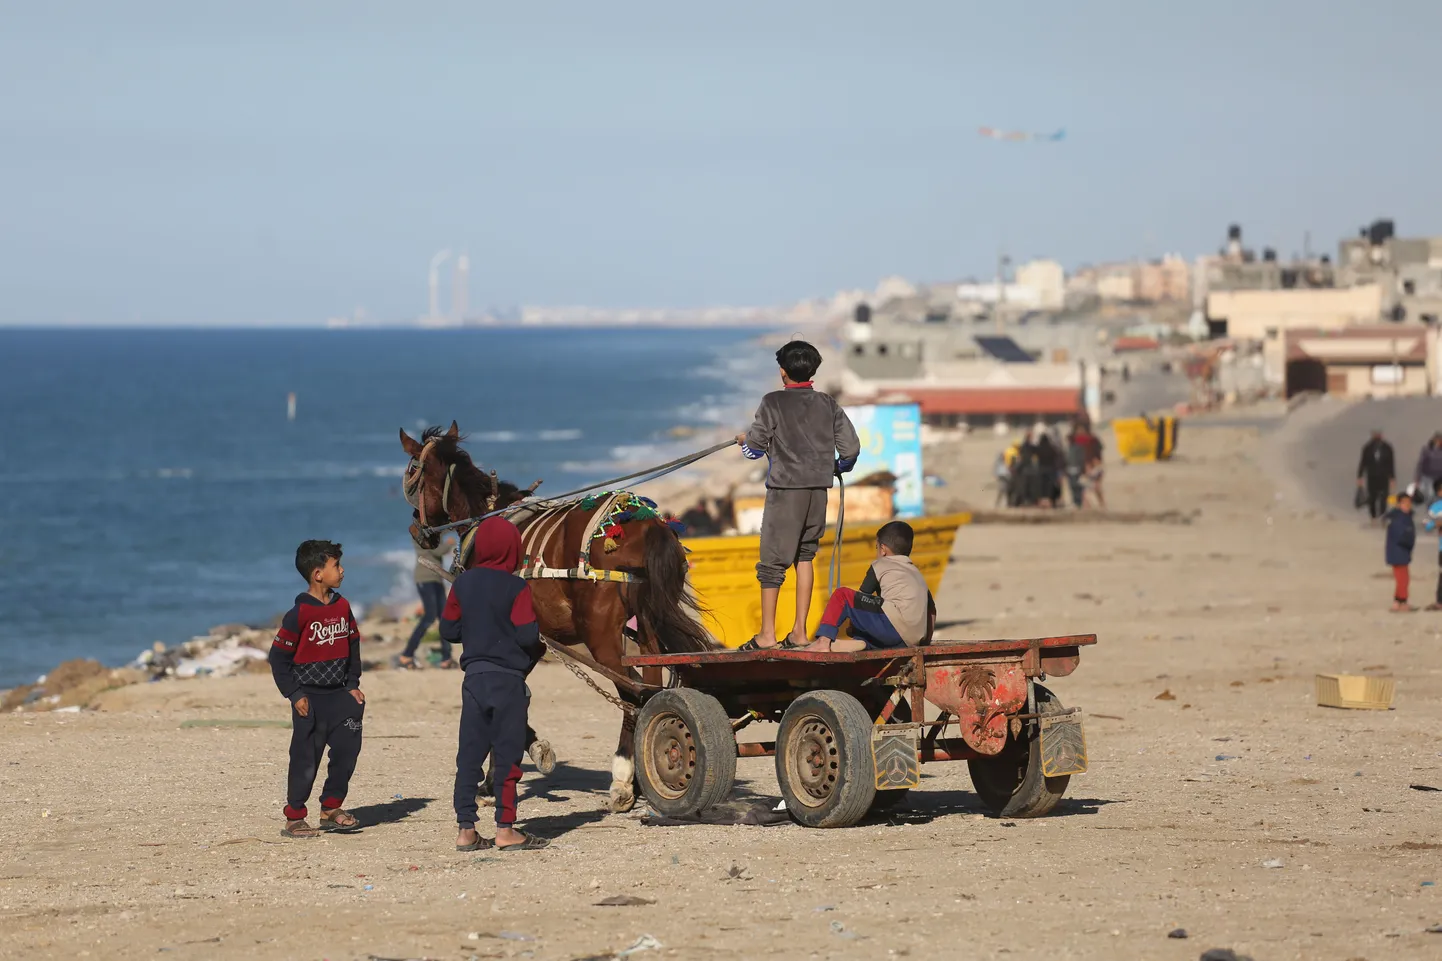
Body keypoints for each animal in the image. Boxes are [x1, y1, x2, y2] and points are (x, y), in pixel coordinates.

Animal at [400, 418, 715, 808]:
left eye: (411, 471)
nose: (418, 530)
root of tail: (645, 525)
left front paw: (514, 765)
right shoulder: (533, 640)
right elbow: (511, 693)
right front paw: (499, 775)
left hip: (600, 635)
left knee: (632, 693)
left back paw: (623, 778)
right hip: (646, 625)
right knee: (651, 685)